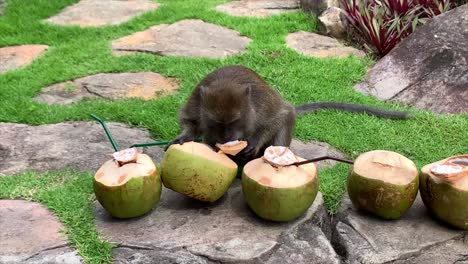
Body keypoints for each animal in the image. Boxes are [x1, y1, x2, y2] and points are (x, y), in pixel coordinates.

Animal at [166, 64, 408, 163]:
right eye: (217, 123)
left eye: (235, 121)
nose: (227, 139)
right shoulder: (198, 99)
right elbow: (190, 119)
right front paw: (184, 136)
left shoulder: (260, 106)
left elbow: (278, 118)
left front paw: (253, 143)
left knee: (286, 120)